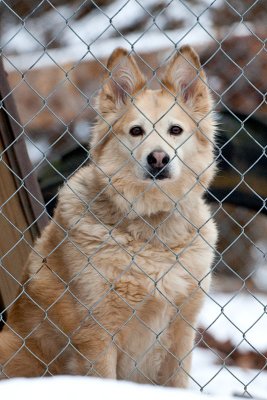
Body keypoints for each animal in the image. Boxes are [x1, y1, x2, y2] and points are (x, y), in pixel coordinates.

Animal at [0, 47, 218, 388]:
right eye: (136, 131)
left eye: (176, 130)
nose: (158, 159)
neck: (151, 228)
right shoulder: (97, 337)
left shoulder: (182, 333)